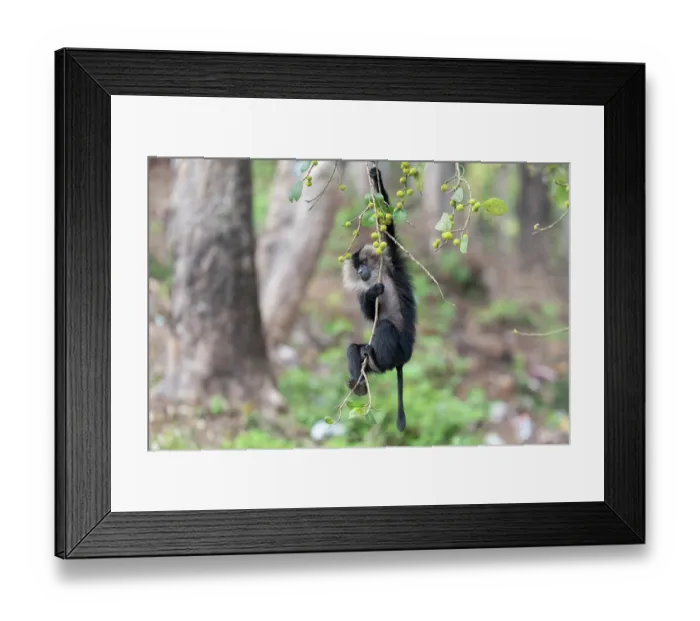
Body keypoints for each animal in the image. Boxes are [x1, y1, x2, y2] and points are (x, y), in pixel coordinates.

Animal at [342, 165, 417, 432]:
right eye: (357, 267)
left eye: (363, 264)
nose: (362, 271)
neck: (379, 273)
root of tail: (402, 361)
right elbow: (367, 307)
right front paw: (372, 294)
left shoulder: (393, 262)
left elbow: (388, 227)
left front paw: (375, 177)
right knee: (353, 348)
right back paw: (360, 381)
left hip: (400, 350)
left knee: (385, 326)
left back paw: (376, 360)